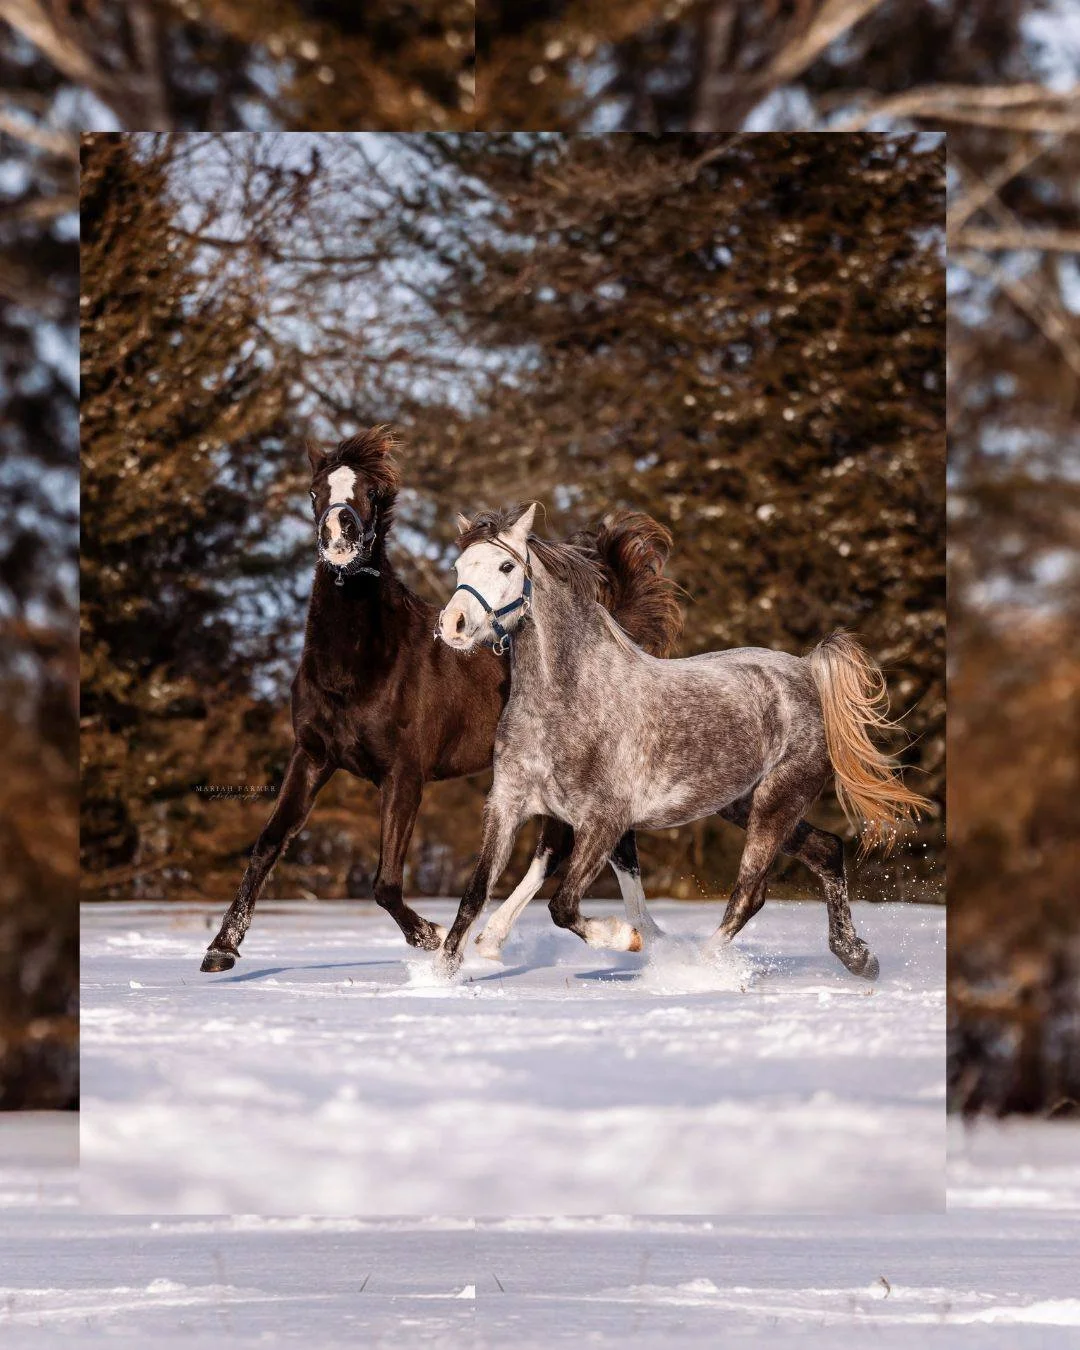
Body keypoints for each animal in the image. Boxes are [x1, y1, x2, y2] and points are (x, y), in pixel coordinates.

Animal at [200, 430, 681, 973]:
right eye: (315, 491)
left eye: (371, 492)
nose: (340, 535)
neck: (361, 667)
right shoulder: (313, 758)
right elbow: (268, 844)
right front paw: (221, 948)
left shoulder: (404, 775)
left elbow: (385, 883)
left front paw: (429, 935)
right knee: (565, 846)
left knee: (606, 847)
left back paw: (636, 937)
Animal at [434, 501, 931, 979]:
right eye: (458, 566)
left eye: (505, 566)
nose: (452, 624)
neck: (566, 699)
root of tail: (807, 671)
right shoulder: (508, 805)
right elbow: (476, 893)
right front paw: (442, 973)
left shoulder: (604, 821)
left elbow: (564, 905)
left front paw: (628, 939)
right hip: (741, 803)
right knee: (827, 851)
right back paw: (858, 958)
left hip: (777, 802)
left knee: (750, 893)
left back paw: (693, 967)